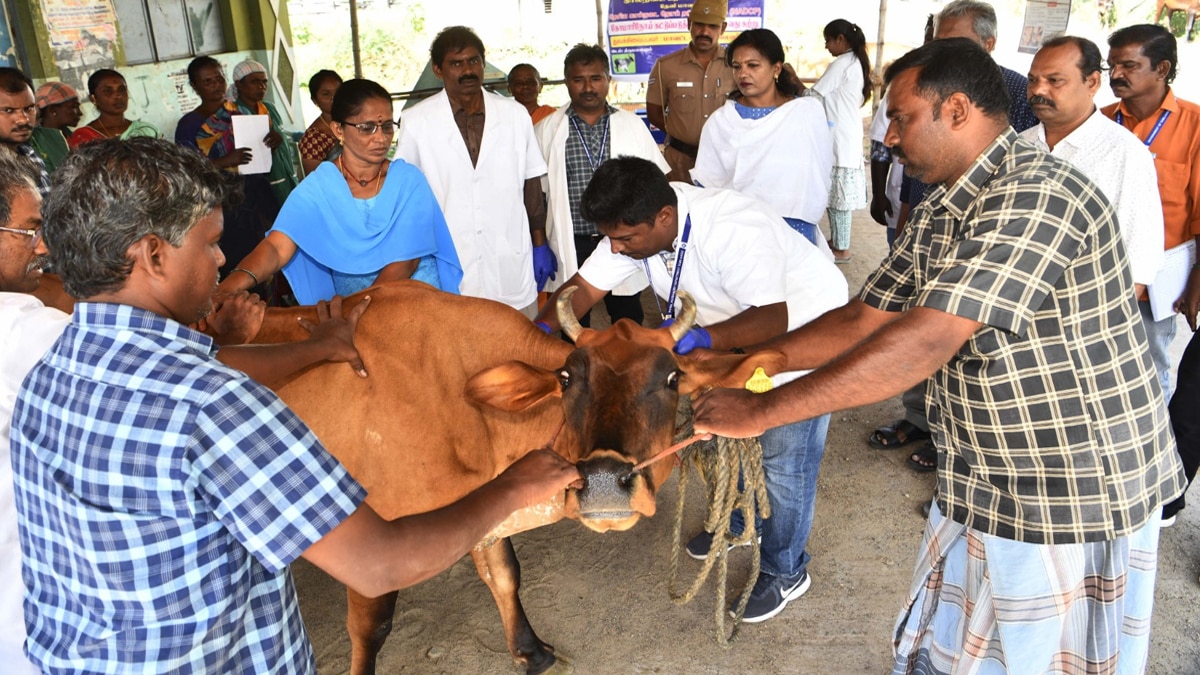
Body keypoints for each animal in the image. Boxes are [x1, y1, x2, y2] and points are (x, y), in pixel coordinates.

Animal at [248, 281, 782, 667]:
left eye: (672, 378)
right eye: (565, 378)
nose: (604, 481)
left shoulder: (487, 508)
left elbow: (505, 574)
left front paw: (531, 651)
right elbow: (370, 628)